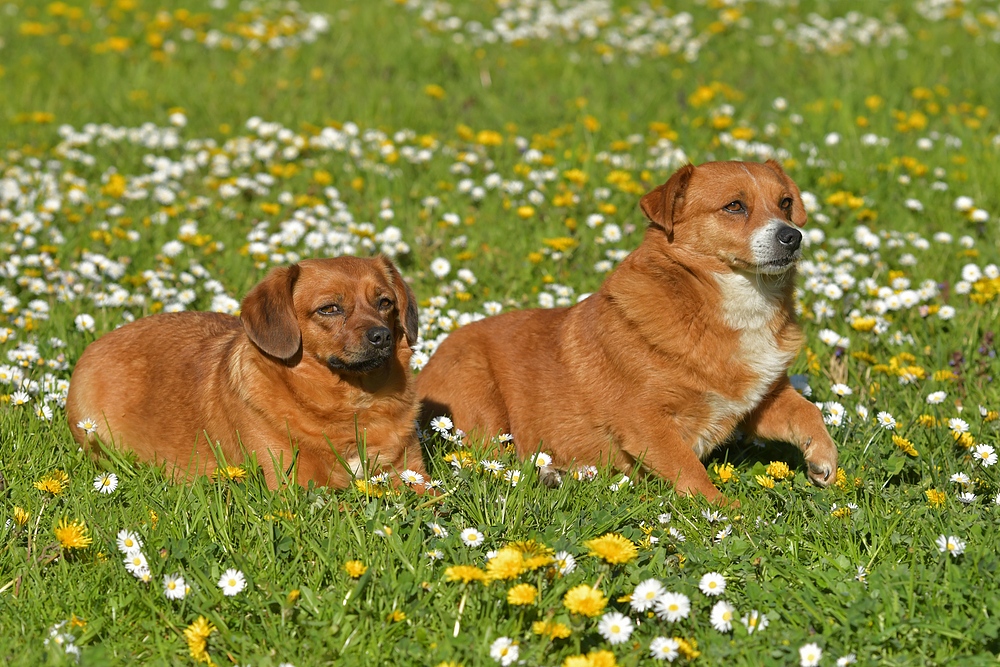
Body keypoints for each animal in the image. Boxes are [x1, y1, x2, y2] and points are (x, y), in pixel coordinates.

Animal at [68, 256, 428, 490]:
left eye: (385, 302)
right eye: (329, 309)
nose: (381, 336)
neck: (352, 406)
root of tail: (100, 339)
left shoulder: (412, 474)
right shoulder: (298, 487)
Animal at [414, 162, 836, 504]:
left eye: (785, 203)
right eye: (734, 206)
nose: (793, 236)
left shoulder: (761, 399)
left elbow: (808, 410)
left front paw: (823, 458)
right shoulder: (643, 421)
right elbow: (688, 467)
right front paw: (727, 508)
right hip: (480, 399)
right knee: (492, 463)